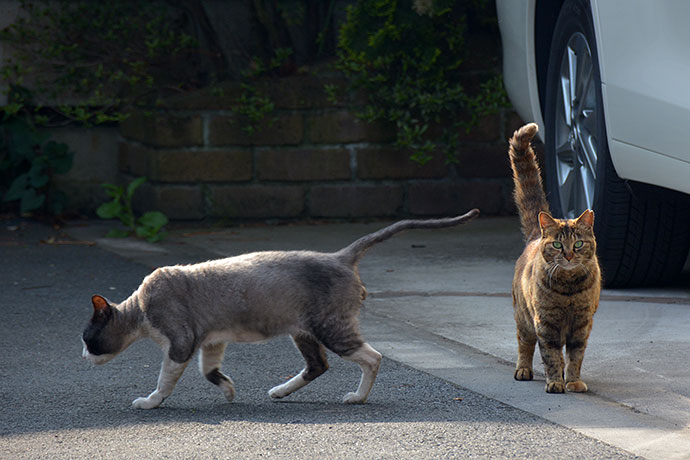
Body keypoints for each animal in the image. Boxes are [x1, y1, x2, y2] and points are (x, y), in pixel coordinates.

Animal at [80, 208, 478, 410]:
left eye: (86, 339)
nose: (82, 356)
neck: (141, 307)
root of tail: (340, 255)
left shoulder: (180, 344)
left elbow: (165, 381)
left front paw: (149, 402)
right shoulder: (212, 341)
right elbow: (210, 372)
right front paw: (229, 392)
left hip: (331, 329)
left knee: (372, 357)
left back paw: (357, 398)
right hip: (303, 331)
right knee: (319, 365)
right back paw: (280, 392)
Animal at [506, 124, 596, 394]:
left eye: (578, 244)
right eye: (557, 244)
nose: (567, 255)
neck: (568, 289)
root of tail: (536, 235)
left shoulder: (581, 323)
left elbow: (575, 355)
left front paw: (573, 380)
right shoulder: (545, 322)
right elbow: (551, 355)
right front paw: (555, 382)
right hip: (523, 317)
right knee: (524, 344)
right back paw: (523, 370)